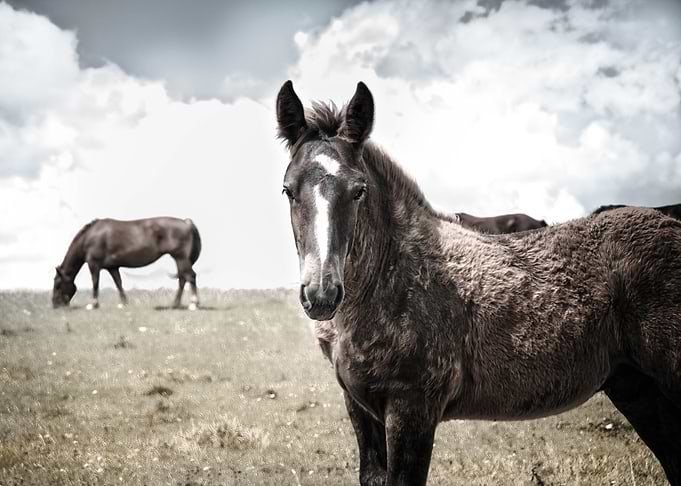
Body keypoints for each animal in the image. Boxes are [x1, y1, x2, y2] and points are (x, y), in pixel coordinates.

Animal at [52, 217, 201, 310]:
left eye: (58, 284)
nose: (54, 305)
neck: (90, 237)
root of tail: (186, 222)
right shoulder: (112, 267)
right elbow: (118, 283)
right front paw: (124, 303)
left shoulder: (94, 264)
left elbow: (95, 283)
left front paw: (93, 304)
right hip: (178, 258)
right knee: (183, 279)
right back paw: (175, 304)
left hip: (180, 257)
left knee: (190, 276)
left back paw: (193, 304)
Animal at [276, 80, 681, 486]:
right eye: (288, 190)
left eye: (358, 190)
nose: (322, 294)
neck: (393, 279)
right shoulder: (359, 406)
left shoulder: (413, 407)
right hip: (637, 389)